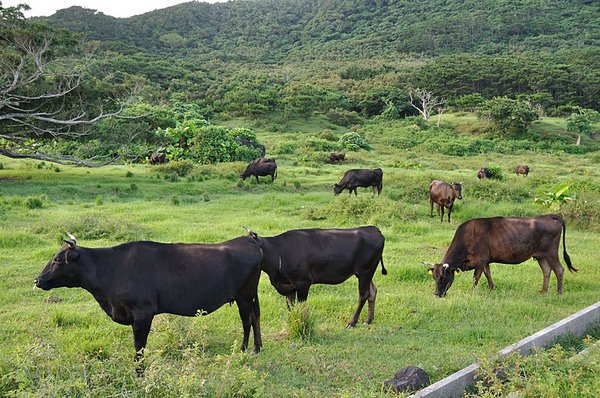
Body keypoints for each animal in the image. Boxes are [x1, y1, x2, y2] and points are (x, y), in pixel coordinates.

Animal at [246, 225, 386, 328]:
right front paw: (292, 322)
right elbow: (290, 307)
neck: (278, 252)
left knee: (363, 294)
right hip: (365, 273)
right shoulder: (288, 286)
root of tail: (373, 228)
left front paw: (301, 323)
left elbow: (301, 306)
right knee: (372, 291)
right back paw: (369, 320)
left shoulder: (303, 282)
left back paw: (352, 322)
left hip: (365, 271)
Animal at [424, 215, 580, 296]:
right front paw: (492, 288)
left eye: (443, 277)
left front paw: (472, 291)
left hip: (551, 253)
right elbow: (488, 275)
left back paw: (559, 292)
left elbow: (475, 278)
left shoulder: (480, 260)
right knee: (547, 271)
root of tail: (550, 216)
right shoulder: (486, 261)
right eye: (434, 277)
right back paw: (543, 291)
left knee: (559, 269)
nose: (437, 294)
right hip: (541, 256)